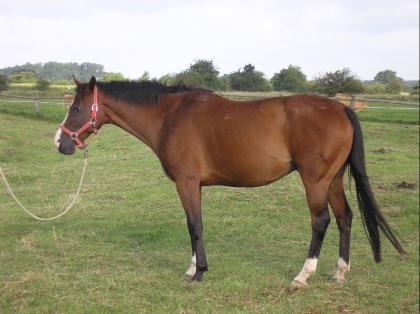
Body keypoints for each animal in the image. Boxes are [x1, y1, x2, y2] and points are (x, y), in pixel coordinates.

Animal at [54, 76, 406, 288]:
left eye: (76, 106)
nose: (60, 143)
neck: (171, 116)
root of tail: (341, 109)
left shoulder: (186, 182)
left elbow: (195, 225)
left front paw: (199, 272)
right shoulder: (192, 185)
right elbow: (192, 224)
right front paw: (192, 267)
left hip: (316, 181)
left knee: (321, 221)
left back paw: (303, 275)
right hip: (333, 180)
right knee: (346, 218)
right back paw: (339, 272)